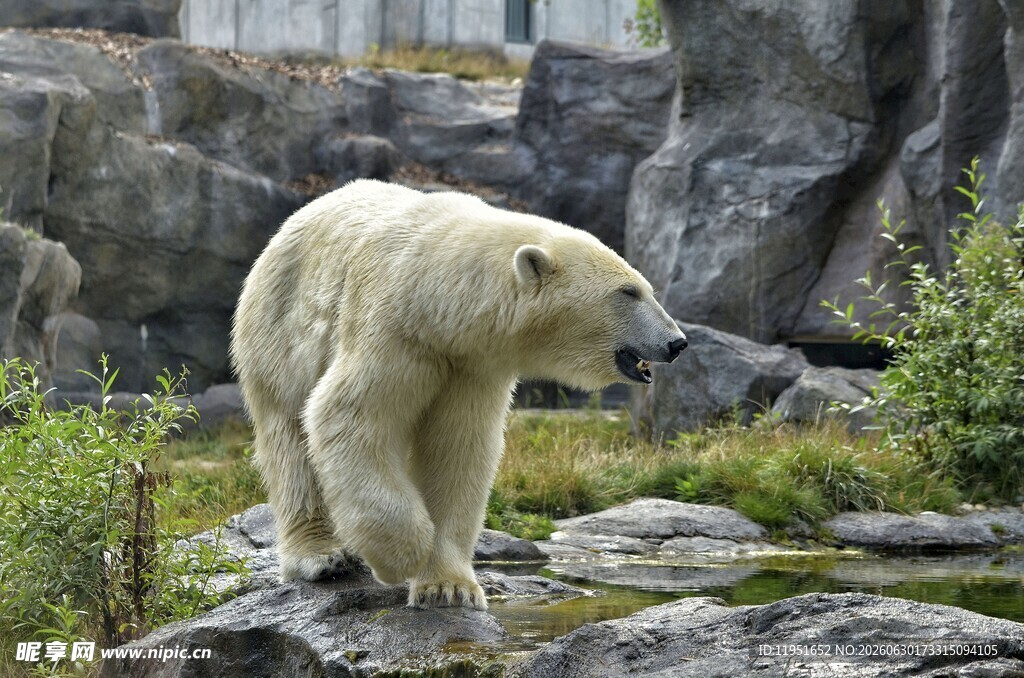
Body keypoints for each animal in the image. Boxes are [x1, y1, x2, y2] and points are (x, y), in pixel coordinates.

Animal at [230, 180, 686, 610]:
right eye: (628, 292)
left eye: (645, 289)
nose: (677, 342)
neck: (440, 297)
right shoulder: (395, 330)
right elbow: (349, 416)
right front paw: (401, 555)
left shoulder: (472, 364)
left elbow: (457, 449)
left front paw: (448, 588)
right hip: (278, 331)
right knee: (289, 440)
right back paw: (320, 557)